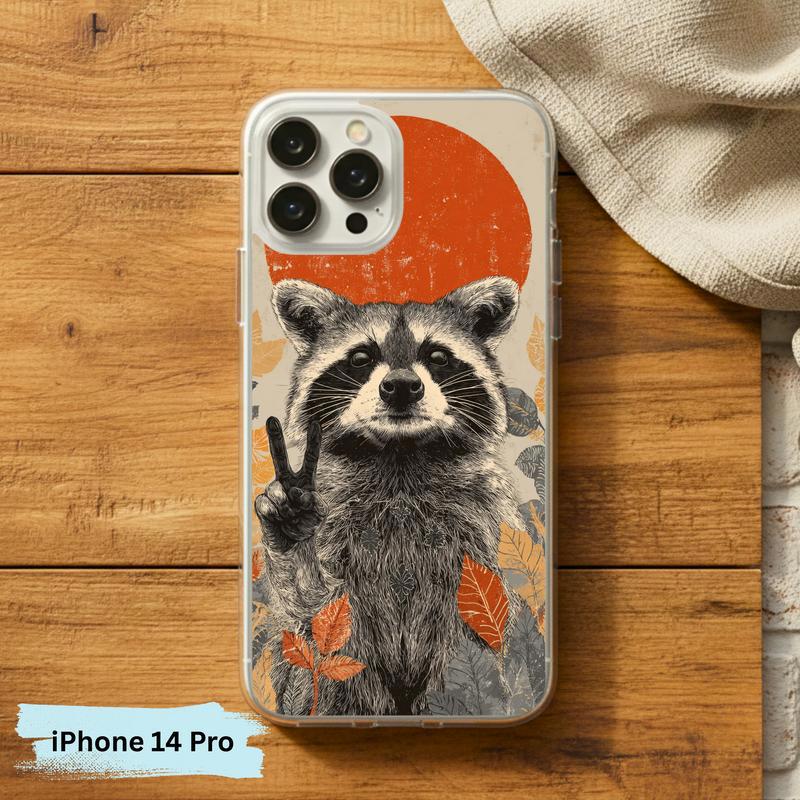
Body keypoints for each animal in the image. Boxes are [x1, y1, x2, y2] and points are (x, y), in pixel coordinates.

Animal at [255, 276, 524, 716]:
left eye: (438, 355)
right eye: (361, 357)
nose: (400, 386)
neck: (400, 454)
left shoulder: (482, 523)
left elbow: (497, 622)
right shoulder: (337, 516)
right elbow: (315, 619)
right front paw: (293, 532)